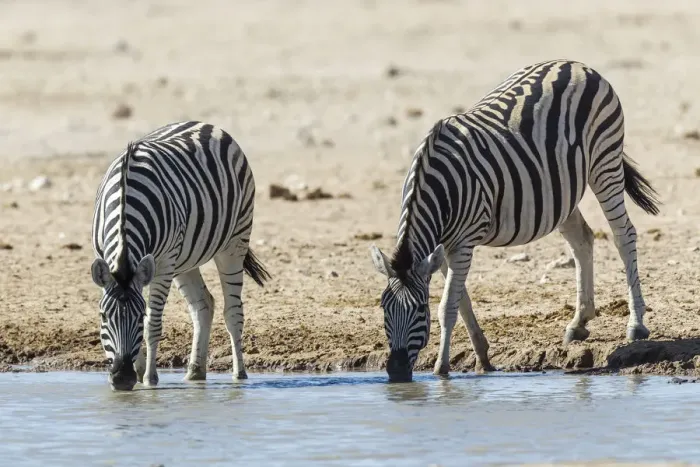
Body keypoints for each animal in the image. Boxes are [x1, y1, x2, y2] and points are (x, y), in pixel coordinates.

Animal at [90, 121, 270, 391]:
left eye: (139, 316)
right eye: (103, 316)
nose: (122, 378)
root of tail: (205, 124)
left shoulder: (164, 264)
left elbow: (153, 325)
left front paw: (149, 379)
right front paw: (138, 371)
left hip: (235, 240)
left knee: (233, 312)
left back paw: (239, 376)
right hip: (185, 260)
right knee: (203, 305)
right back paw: (195, 373)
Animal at [369, 59, 660, 382]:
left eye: (421, 310)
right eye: (383, 307)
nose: (396, 373)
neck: (437, 187)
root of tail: (577, 65)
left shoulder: (462, 243)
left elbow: (448, 307)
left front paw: (442, 369)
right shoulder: (443, 247)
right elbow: (461, 301)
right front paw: (483, 357)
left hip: (605, 161)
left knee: (624, 235)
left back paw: (636, 325)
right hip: (560, 191)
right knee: (582, 239)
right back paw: (578, 323)